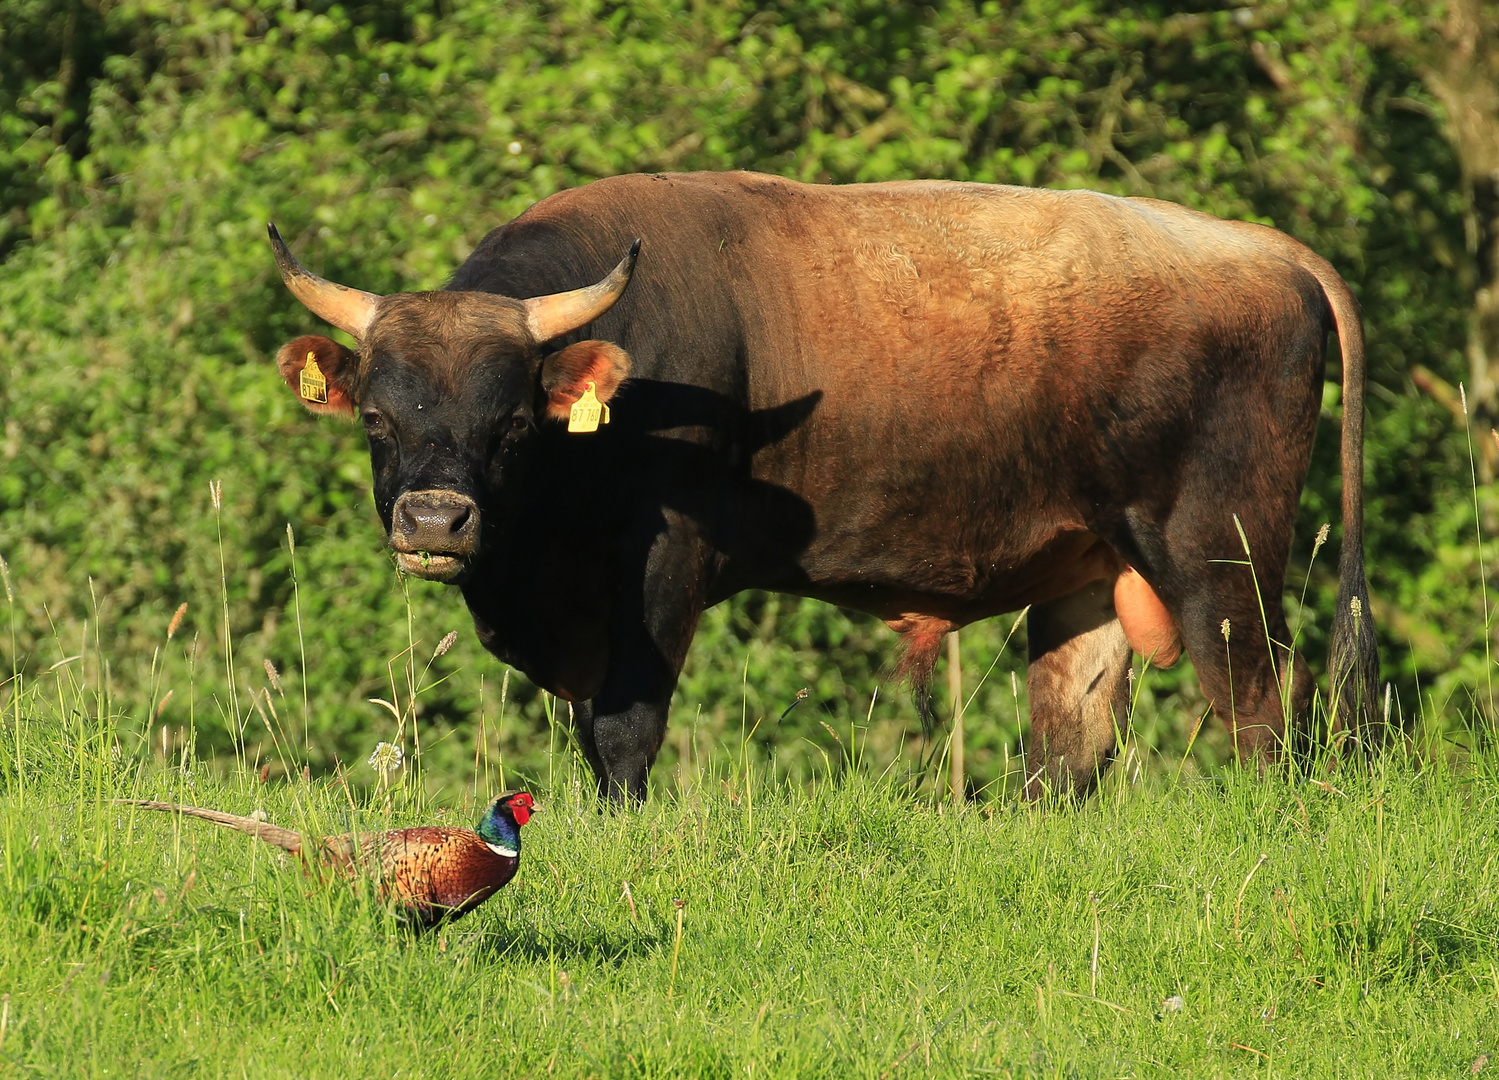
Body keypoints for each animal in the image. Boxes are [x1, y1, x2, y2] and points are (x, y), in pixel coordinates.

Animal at [266, 171, 1379, 804]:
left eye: (509, 424)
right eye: (377, 418)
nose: (434, 519)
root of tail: (1257, 246)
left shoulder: (664, 567)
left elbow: (624, 730)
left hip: (1217, 558)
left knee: (1256, 706)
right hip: (1089, 570)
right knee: (1069, 736)